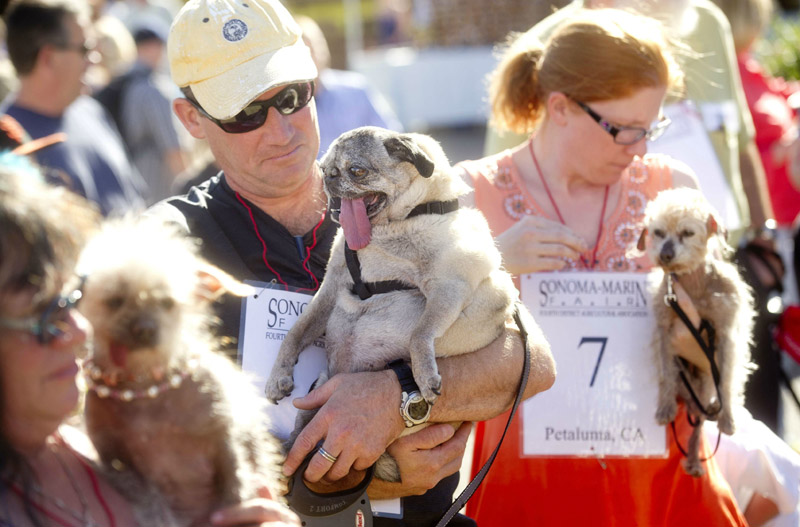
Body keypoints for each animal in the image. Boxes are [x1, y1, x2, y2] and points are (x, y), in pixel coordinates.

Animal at [78, 217, 282, 524]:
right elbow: (151, 503)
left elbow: (234, 490)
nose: (145, 329)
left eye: (167, 303)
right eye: (115, 301)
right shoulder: (116, 461)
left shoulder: (226, 439)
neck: (145, 387)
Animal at [636, 190, 756, 478]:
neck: (693, 286)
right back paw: (692, 459)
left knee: (702, 417)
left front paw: (728, 418)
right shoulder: (664, 334)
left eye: (688, 233)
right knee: (697, 418)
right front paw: (665, 407)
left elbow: (726, 382)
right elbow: (665, 375)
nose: (666, 254)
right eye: (658, 232)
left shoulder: (726, 336)